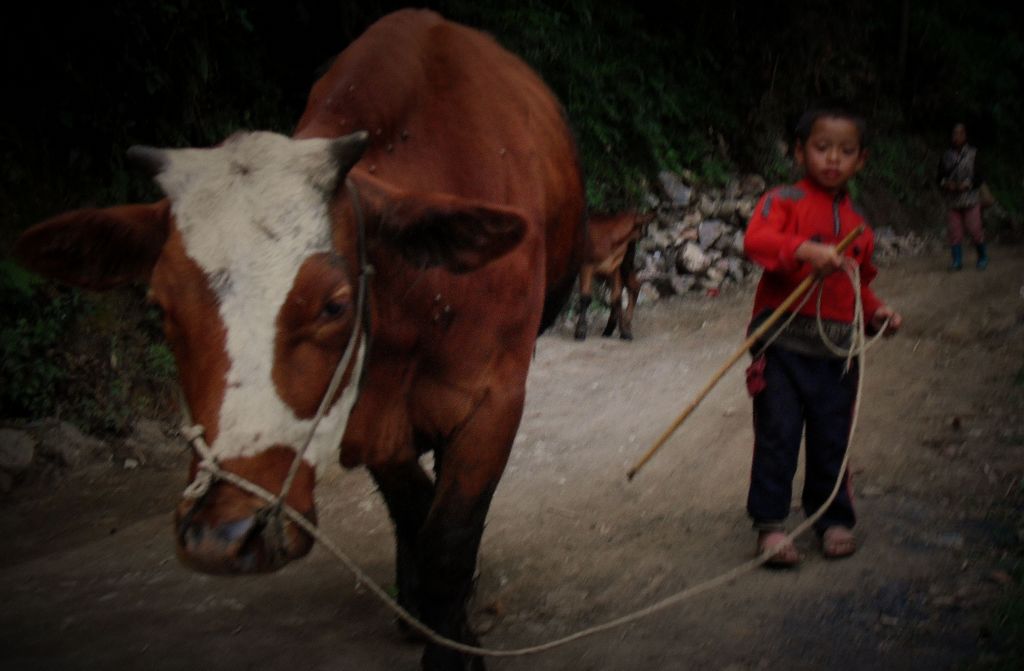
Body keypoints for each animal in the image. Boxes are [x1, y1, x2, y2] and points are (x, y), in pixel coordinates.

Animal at [14, 10, 585, 671]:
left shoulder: (496, 400)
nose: (222, 536)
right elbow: (414, 511)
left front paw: (454, 643)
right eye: (159, 307)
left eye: (334, 304)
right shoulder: (362, 416)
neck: (418, 294)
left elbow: (448, 537)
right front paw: (423, 611)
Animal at [573, 213, 651, 342]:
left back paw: (622, 325)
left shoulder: (615, 268)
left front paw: (624, 332)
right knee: (633, 285)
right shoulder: (586, 265)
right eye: (643, 226)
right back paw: (612, 327)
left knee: (634, 285)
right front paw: (580, 331)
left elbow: (616, 298)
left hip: (624, 265)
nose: (646, 235)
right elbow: (585, 297)